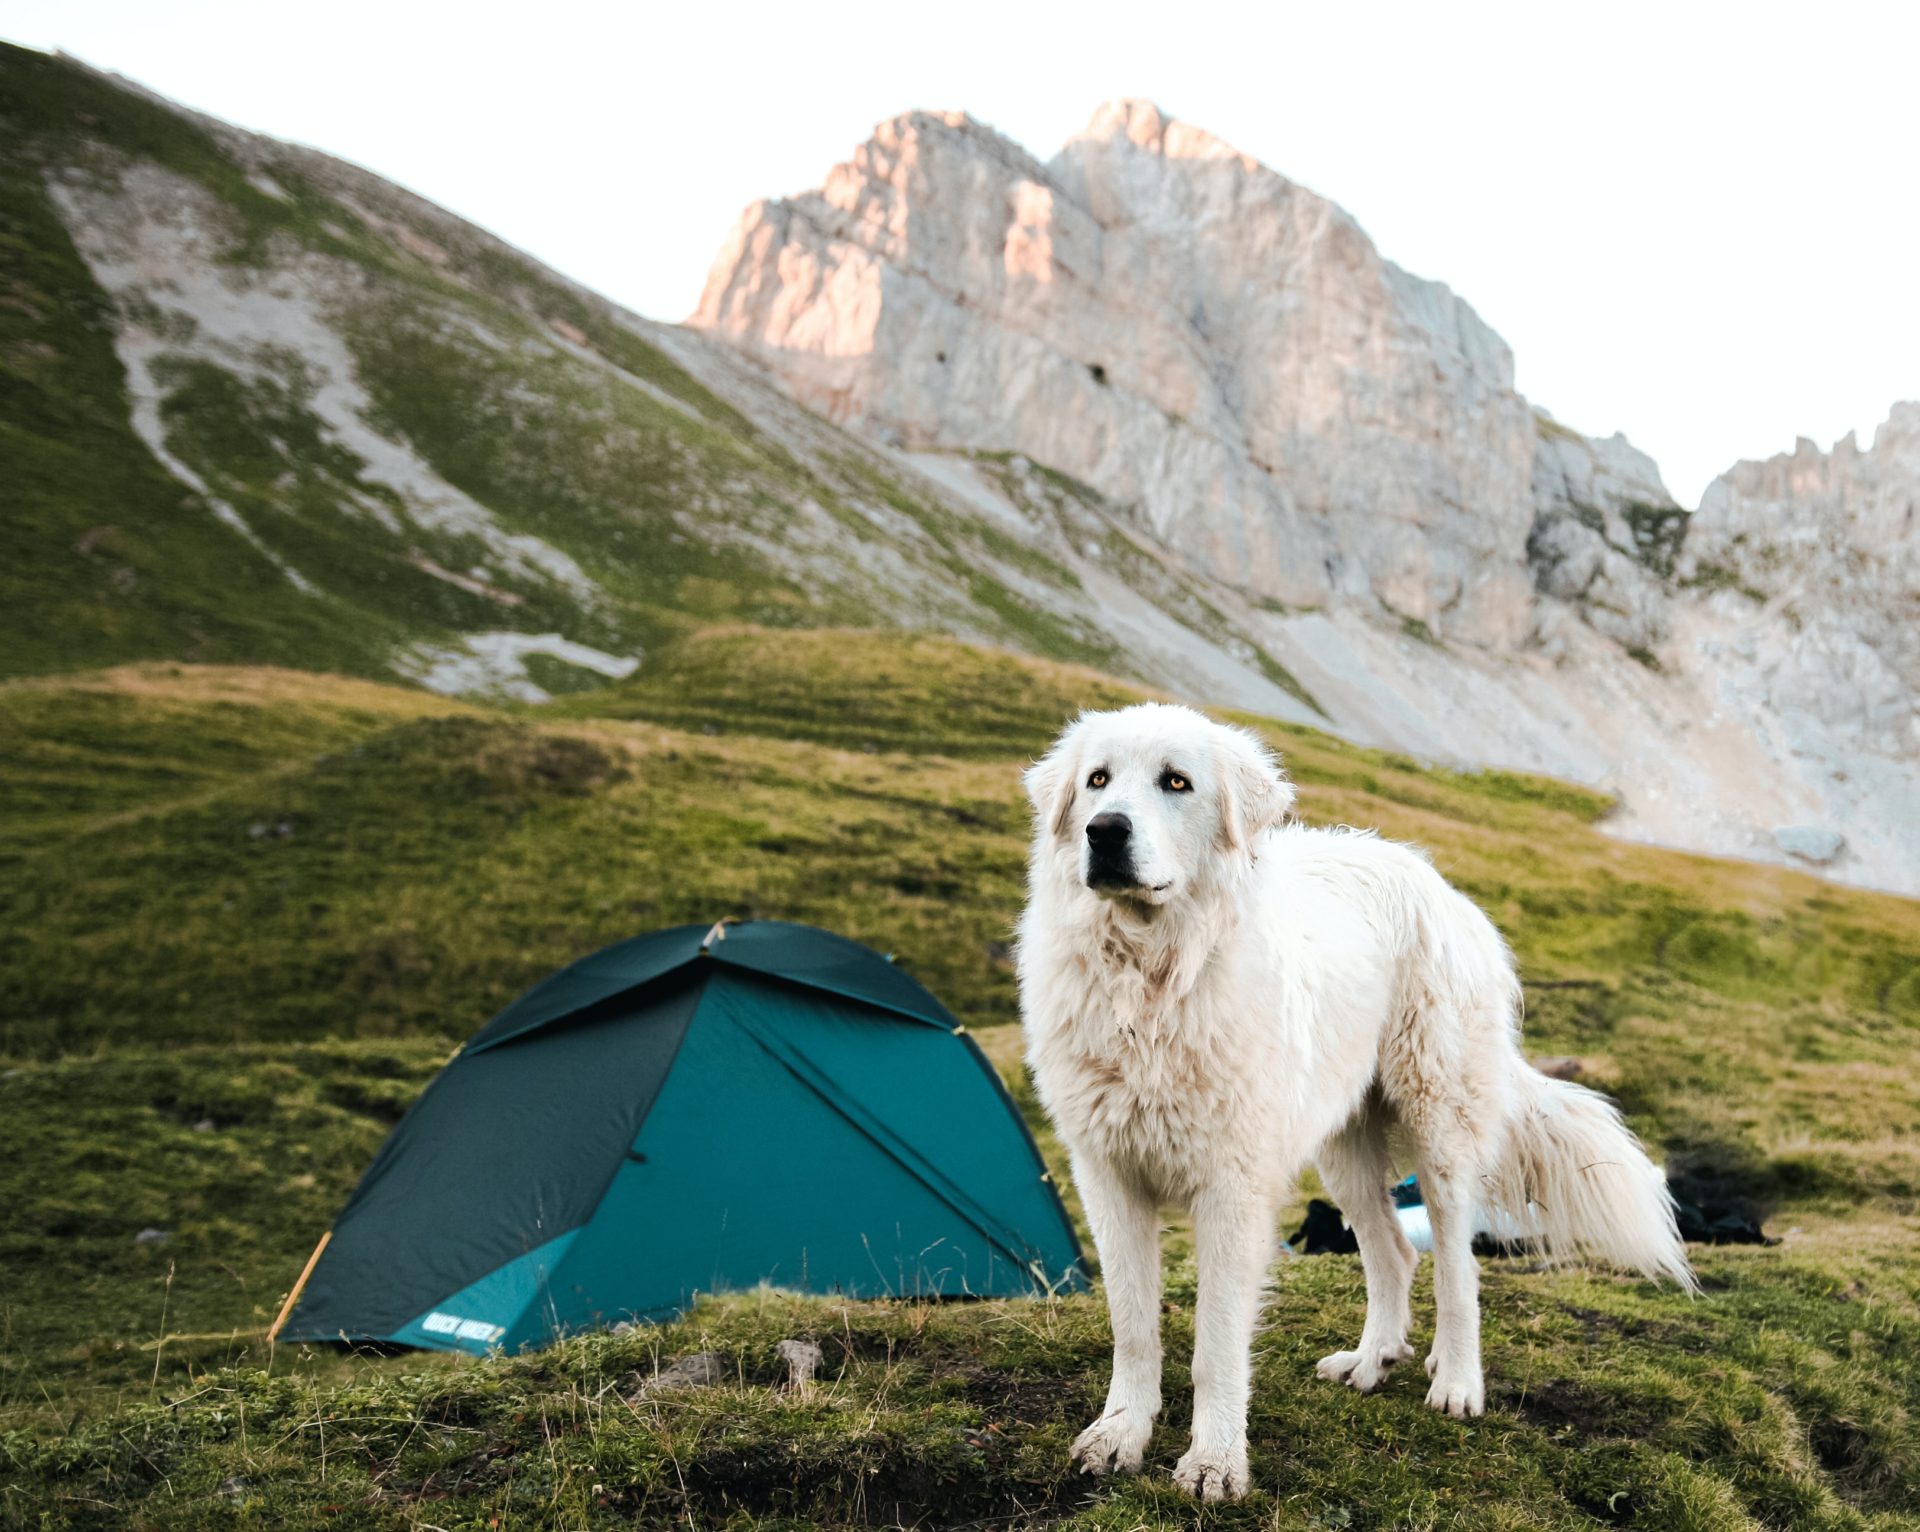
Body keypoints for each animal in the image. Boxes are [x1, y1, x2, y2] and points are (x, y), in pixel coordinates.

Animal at [1013, 714, 1689, 1505]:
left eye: (1176, 781)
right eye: (1097, 780)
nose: (1104, 831)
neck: (1151, 980)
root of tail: (1436, 882)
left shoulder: (1233, 1189)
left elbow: (1217, 1342)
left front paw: (1215, 1461)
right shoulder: (1108, 1175)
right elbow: (1133, 1326)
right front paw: (1119, 1434)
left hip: (1439, 1128)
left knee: (1458, 1265)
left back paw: (1458, 1381)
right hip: (1342, 1150)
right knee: (1394, 1251)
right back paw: (1372, 1362)